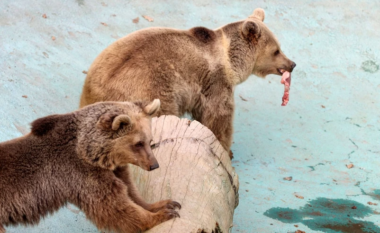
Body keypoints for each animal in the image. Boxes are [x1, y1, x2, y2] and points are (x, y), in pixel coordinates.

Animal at [0, 99, 181, 233]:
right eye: (138, 143)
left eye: (150, 141)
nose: (154, 165)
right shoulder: (81, 173)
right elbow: (115, 207)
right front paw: (164, 215)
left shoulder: (114, 169)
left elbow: (131, 191)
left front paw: (165, 204)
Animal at [78, 9, 296, 158]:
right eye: (276, 50)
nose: (292, 64)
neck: (231, 61)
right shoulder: (214, 81)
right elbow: (218, 116)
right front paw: (226, 150)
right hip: (151, 92)